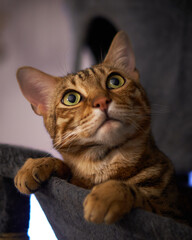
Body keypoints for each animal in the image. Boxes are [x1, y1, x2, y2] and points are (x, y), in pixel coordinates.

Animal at [14, 31, 188, 225]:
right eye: (71, 98)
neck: (104, 164)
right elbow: (66, 167)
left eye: (115, 81)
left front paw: (108, 193)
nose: (101, 101)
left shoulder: (174, 214)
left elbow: (143, 198)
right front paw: (35, 164)